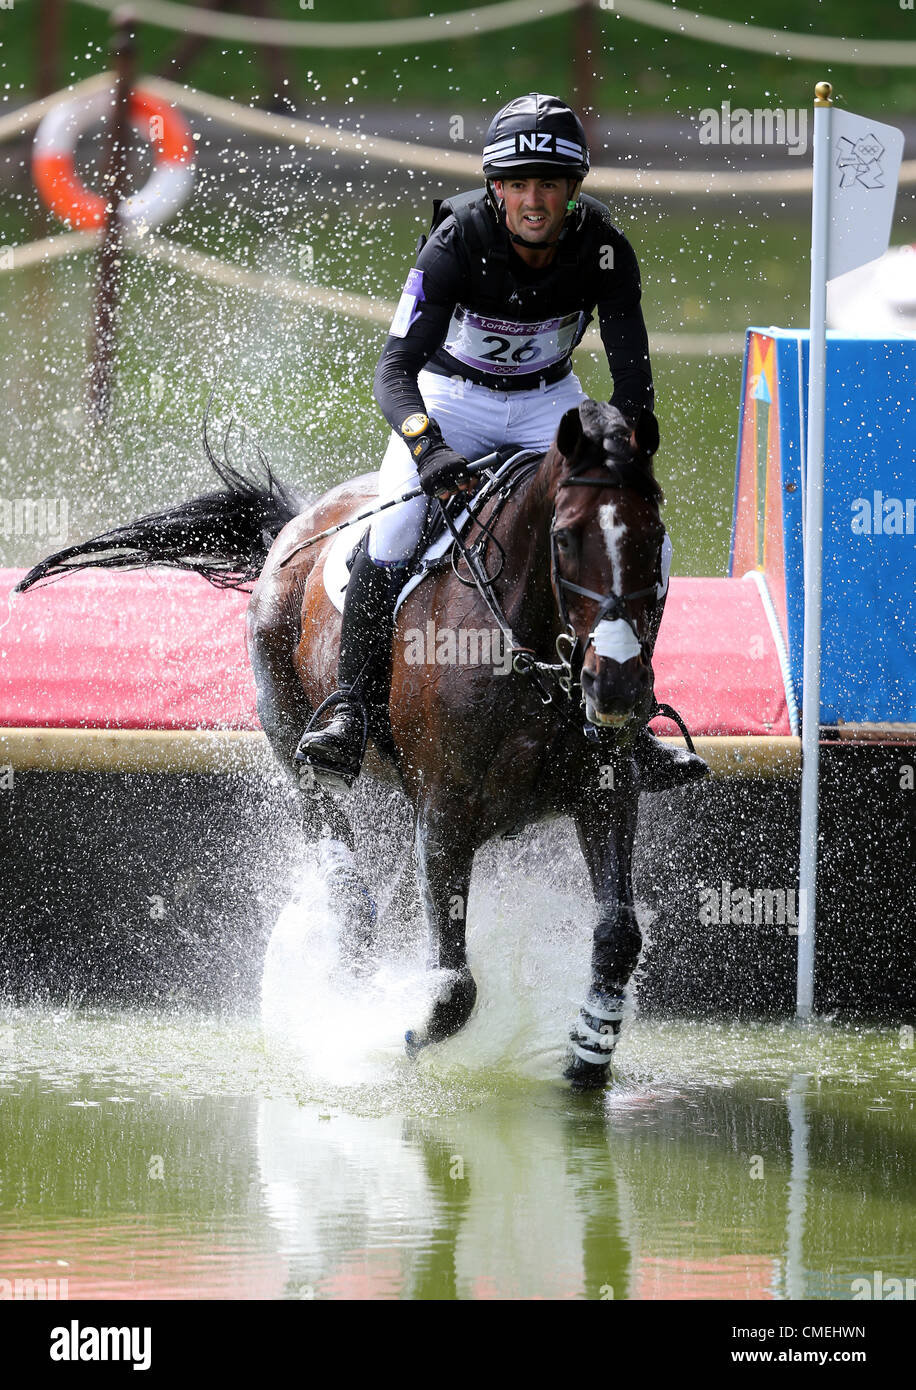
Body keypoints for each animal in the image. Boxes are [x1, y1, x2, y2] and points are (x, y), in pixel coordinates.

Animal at [16, 400, 667, 1084]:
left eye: (655, 540)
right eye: (564, 538)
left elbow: (618, 937)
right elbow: (453, 985)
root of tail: (297, 522)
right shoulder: (446, 812)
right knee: (345, 881)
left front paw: (588, 1054)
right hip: (294, 740)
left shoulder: (604, 794)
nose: (616, 686)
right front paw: (395, 1032)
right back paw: (344, 990)